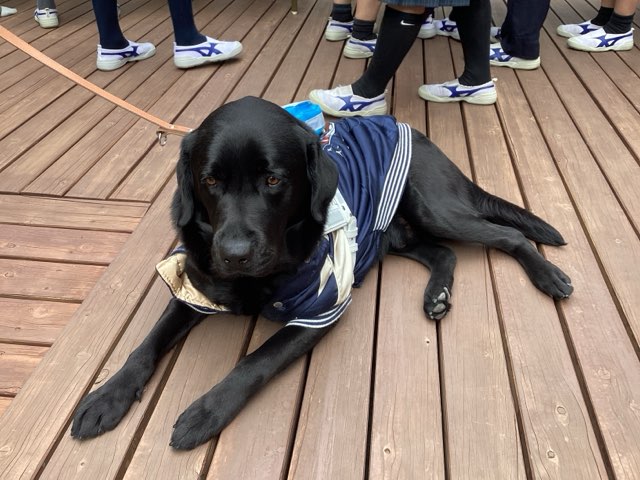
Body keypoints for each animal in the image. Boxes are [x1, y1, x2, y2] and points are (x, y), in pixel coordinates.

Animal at [71, 96, 573, 450]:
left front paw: (206, 412)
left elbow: (255, 362)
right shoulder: (194, 287)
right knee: (442, 254)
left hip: (434, 207)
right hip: (394, 233)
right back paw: (437, 295)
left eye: (273, 180)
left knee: (509, 235)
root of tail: (417, 133)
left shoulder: (319, 311)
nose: (233, 254)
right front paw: (108, 396)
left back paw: (548, 276)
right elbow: (145, 345)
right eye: (210, 181)